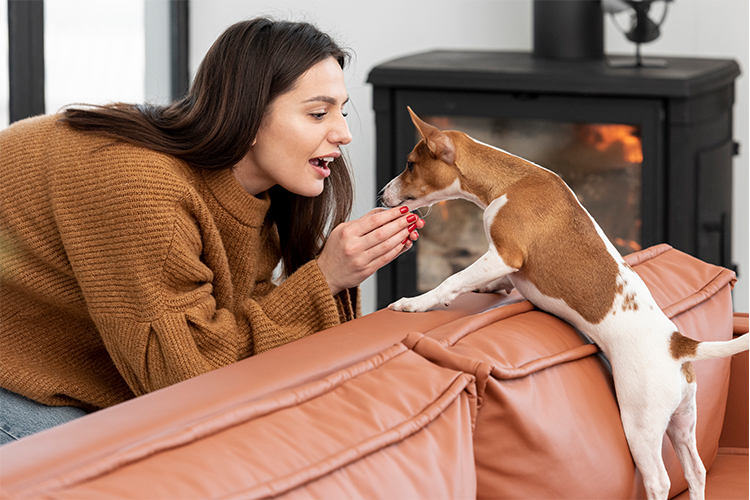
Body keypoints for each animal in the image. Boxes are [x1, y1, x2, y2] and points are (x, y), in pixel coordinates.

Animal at [384, 107, 748, 500]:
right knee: (696, 470)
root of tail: (678, 344)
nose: (382, 193)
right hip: (683, 420)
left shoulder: (504, 255)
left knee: (660, 480)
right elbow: (496, 282)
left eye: (409, 164)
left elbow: (453, 280)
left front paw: (415, 302)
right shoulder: (505, 265)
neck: (509, 181)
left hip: (641, 423)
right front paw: (491, 289)